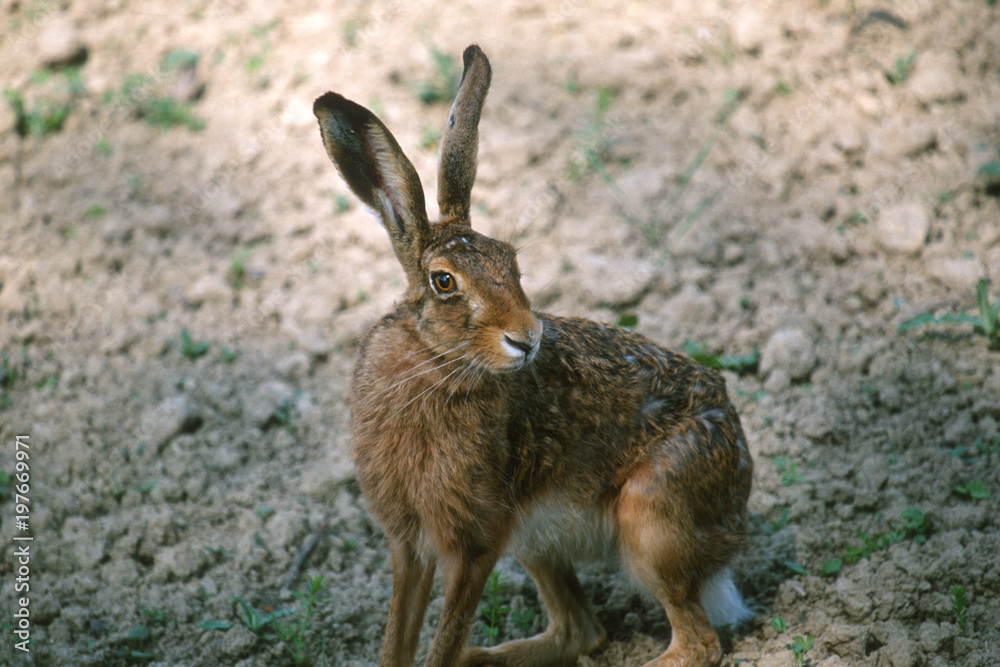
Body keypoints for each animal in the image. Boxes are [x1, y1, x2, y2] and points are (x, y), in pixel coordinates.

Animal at [313, 44, 754, 667]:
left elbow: (442, 640)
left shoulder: (478, 541)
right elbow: (398, 639)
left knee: (696, 642)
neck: (435, 364)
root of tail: (736, 512)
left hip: (651, 518)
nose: (528, 338)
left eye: (512, 263)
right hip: (538, 542)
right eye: (444, 281)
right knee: (580, 630)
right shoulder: (410, 544)